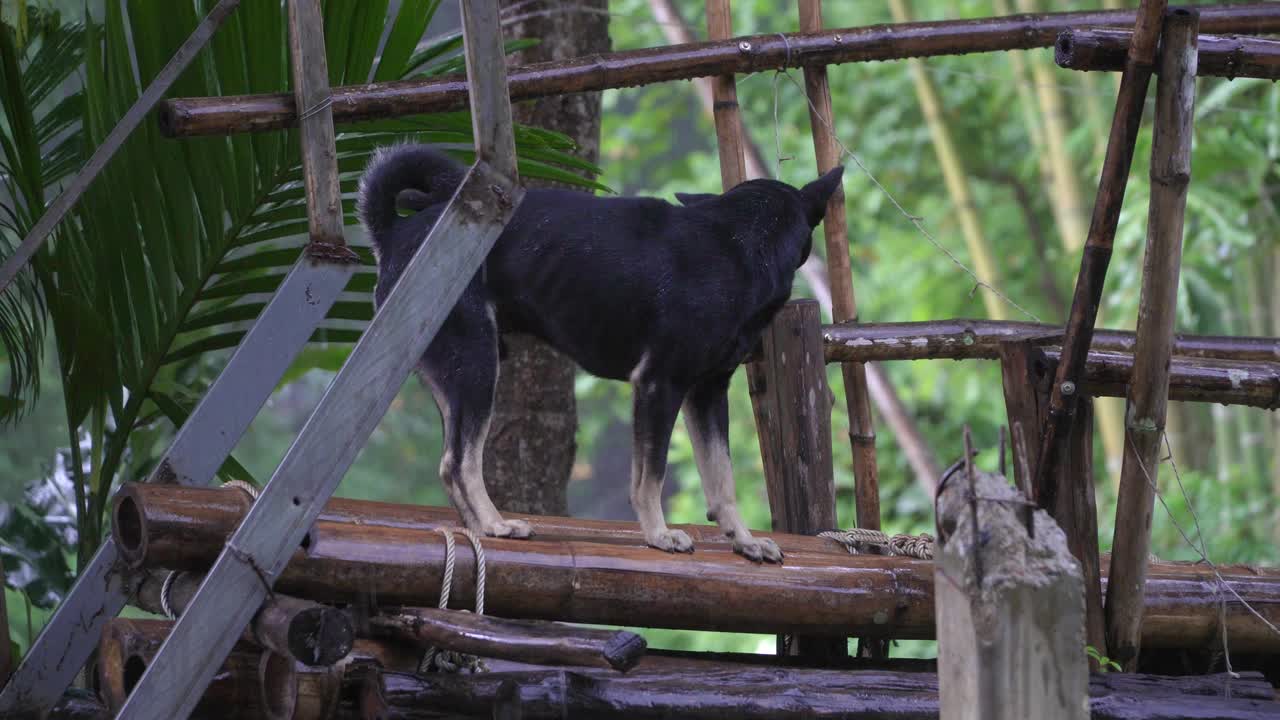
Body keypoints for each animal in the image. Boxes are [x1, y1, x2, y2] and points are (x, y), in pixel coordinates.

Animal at [358, 144, 839, 561]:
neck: (740, 242)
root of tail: (396, 231)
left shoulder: (707, 393)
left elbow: (722, 478)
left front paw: (744, 541)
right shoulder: (658, 384)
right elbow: (650, 475)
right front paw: (659, 535)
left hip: (454, 376)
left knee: (451, 464)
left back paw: (481, 527)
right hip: (476, 366)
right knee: (460, 462)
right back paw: (496, 525)